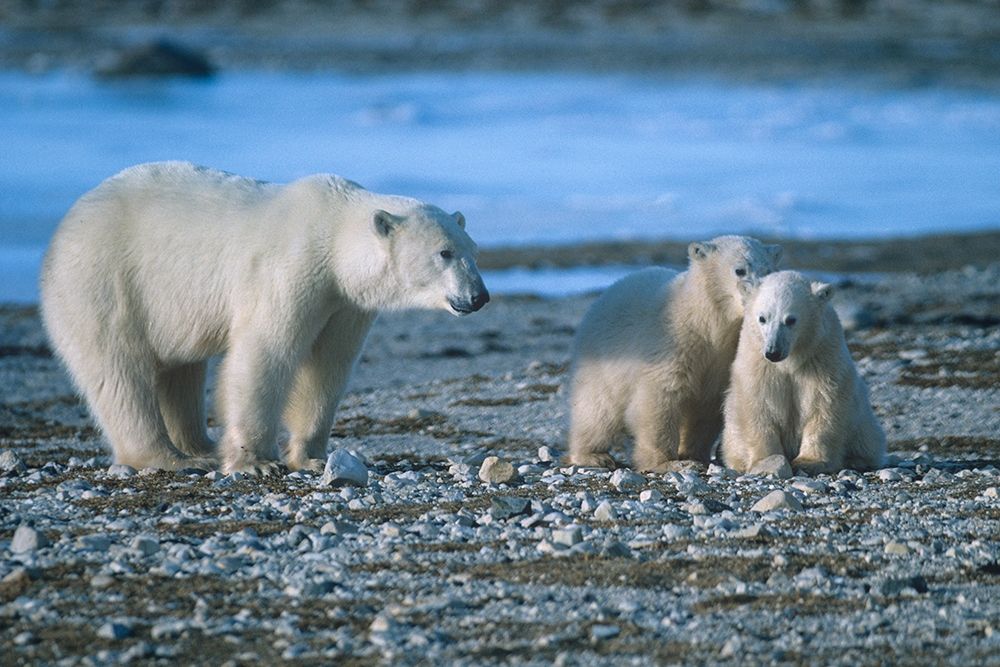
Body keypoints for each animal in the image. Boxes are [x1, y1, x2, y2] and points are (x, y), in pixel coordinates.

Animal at [40, 161, 489, 475]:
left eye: (473, 251)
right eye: (444, 253)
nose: (479, 296)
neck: (333, 233)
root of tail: (65, 225)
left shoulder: (344, 302)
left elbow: (327, 367)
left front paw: (310, 457)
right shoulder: (291, 271)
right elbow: (265, 354)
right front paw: (257, 461)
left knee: (180, 370)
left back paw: (200, 446)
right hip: (105, 282)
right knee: (119, 373)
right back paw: (170, 457)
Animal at [565, 236, 782, 472]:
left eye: (768, 270)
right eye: (740, 270)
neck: (702, 322)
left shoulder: (720, 359)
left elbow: (705, 408)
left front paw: (694, 454)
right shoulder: (671, 347)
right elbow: (660, 398)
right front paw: (666, 462)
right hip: (602, 362)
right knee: (597, 410)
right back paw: (593, 455)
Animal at [720, 270, 886, 474]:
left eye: (790, 319)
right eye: (762, 318)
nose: (773, 352)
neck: (790, 360)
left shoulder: (822, 359)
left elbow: (825, 406)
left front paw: (809, 461)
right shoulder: (758, 363)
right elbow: (758, 405)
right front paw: (766, 461)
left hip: (863, 424)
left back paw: (857, 460)